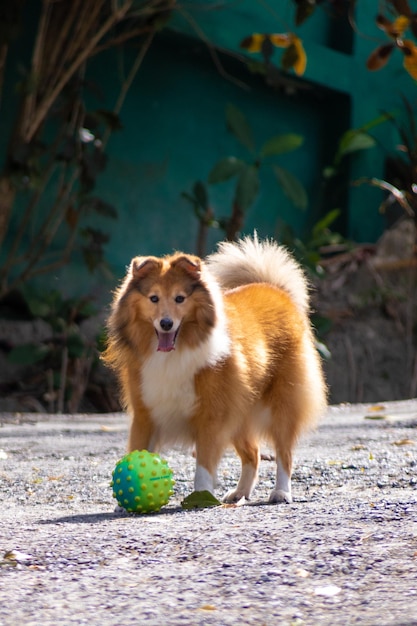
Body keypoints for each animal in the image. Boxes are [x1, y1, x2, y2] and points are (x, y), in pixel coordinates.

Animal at [103, 234, 324, 502]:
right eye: (153, 298)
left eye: (180, 298)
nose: (166, 323)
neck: (174, 352)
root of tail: (275, 289)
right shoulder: (146, 411)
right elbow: (138, 448)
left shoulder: (211, 414)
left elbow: (205, 462)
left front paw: (201, 494)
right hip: (240, 411)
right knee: (253, 452)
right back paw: (240, 493)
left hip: (281, 404)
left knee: (284, 453)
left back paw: (280, 492)